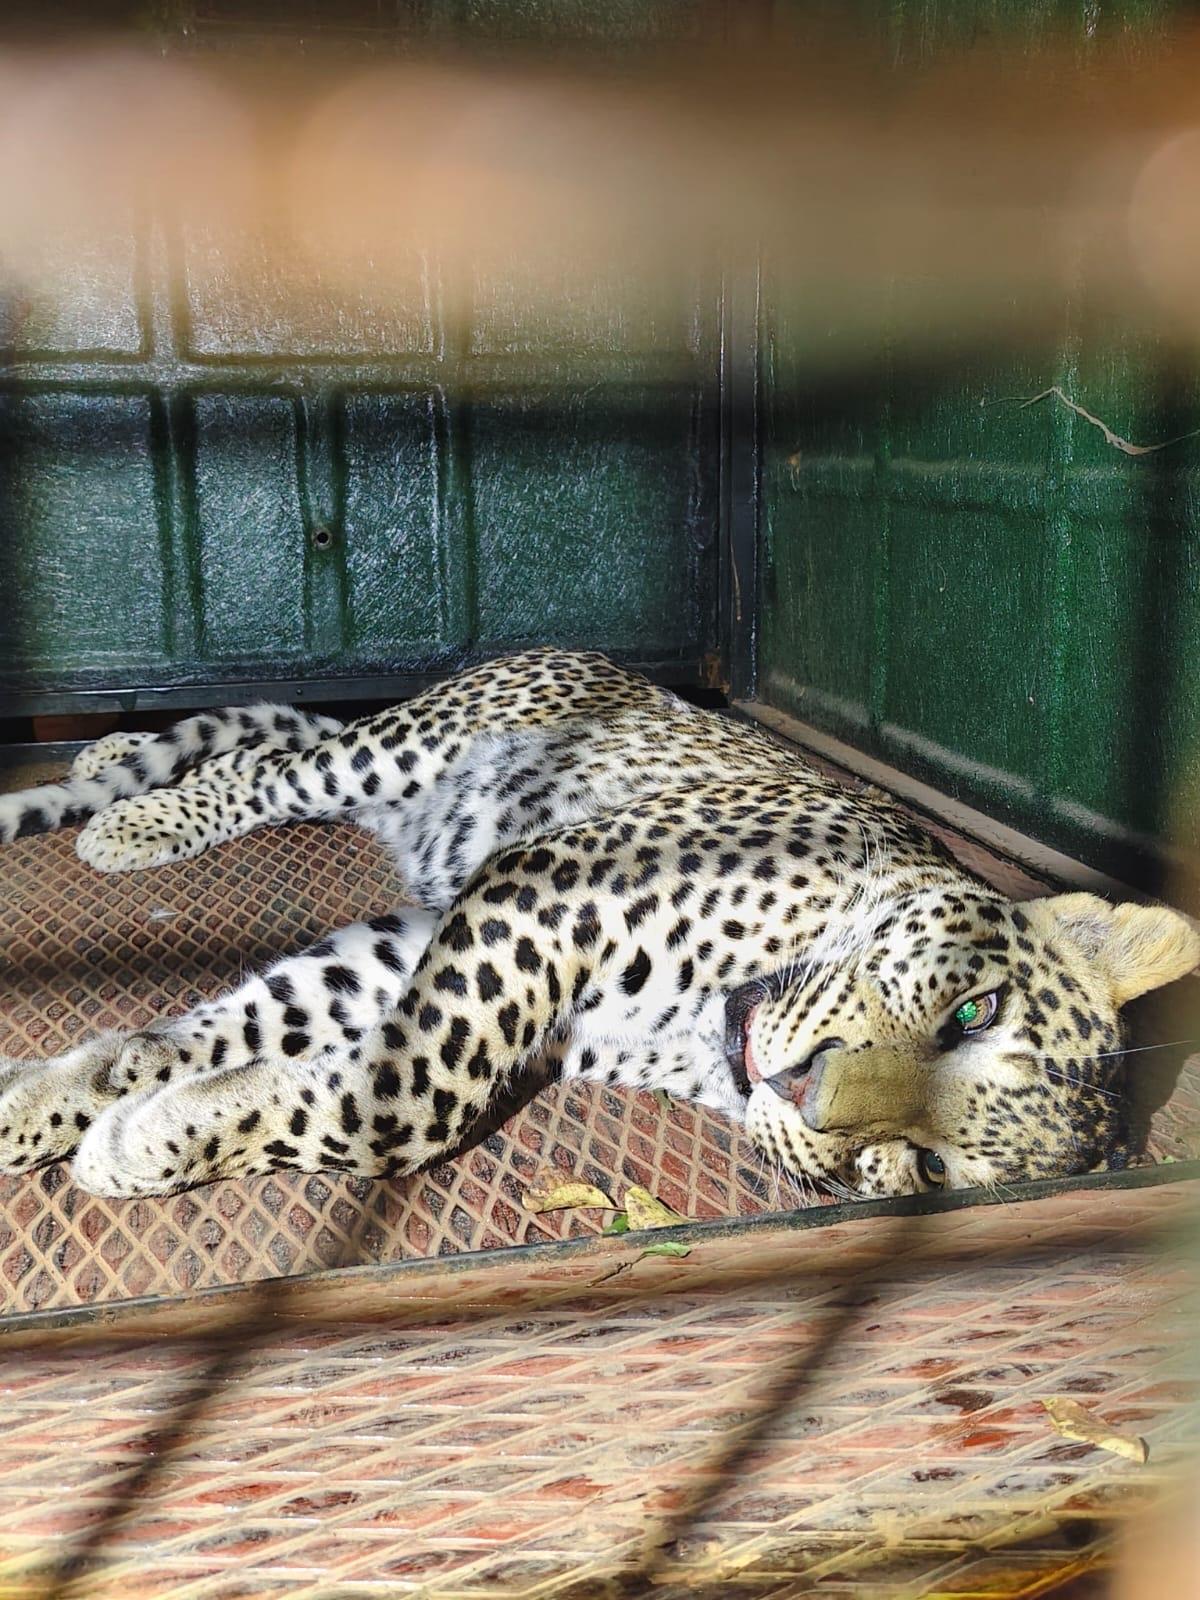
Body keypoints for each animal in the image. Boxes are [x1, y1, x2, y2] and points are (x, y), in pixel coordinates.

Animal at [0, 648, 1195, 1203]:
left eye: (932, 1172)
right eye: (972, 1009)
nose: (800, 1086)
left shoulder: (476, 963)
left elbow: (265, 1049)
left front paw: (105, 1116)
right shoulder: (542, 891)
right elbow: (405, 1106)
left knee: (269, 743)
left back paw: (117, 767)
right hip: (403, 749)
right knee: (265, 765)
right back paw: (131, 818)